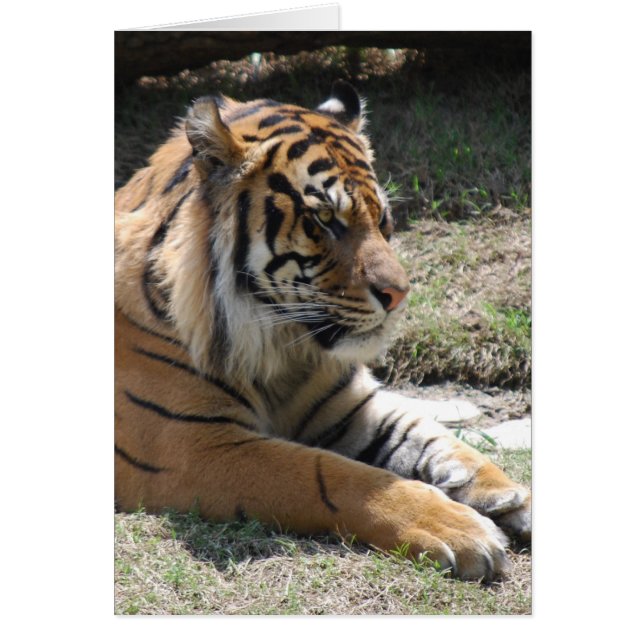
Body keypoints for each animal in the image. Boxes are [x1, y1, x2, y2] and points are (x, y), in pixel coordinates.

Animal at [115, 81, 531, 581]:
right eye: (325, 220)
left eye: (383, 218)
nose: (400, 294)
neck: (281, 348)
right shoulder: (192, 444)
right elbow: (331, 476)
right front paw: (459, 528)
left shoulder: (347, 405)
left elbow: (427, 436)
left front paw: (506, 493)